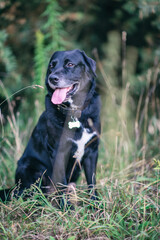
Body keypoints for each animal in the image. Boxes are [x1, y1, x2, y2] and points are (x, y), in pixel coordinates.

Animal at [0, 48, 100, 204]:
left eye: (70, 64)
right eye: (51, 66)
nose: (52, 78)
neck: (74, 113)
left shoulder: (92, 151)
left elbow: (92, 183)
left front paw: (96, 206)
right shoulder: (59, 151)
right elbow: (62, 185)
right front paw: (66, 208)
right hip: (32, 166)